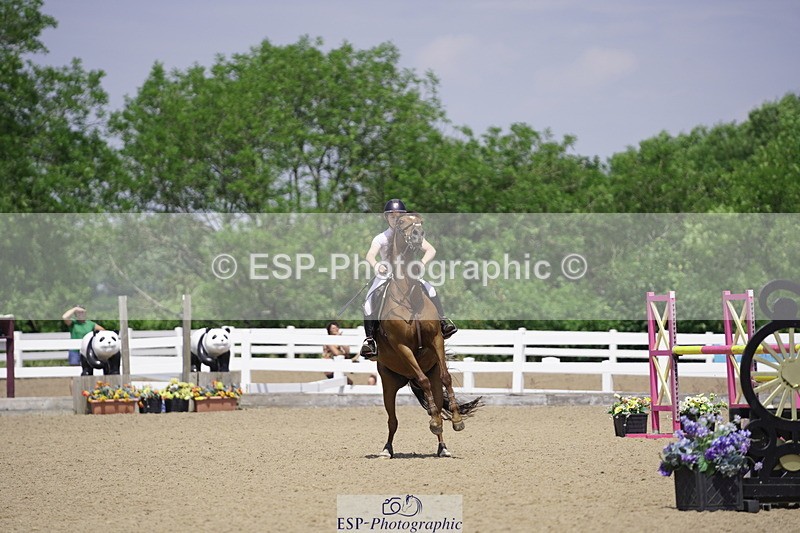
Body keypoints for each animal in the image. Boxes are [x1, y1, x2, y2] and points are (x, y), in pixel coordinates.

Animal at [373, 212, 481, 458]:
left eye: (420, 222)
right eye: (401, 223)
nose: (418, 234)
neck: (409, 297)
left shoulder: (436, 340)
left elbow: (446, 377)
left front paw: (457, 421)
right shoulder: (402, 347)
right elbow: (422, 381)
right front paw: (434, 423)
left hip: (428, 374)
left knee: (436, 400)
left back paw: (443, 446)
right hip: (388, 383)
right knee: (393, 420)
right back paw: (386, 449)